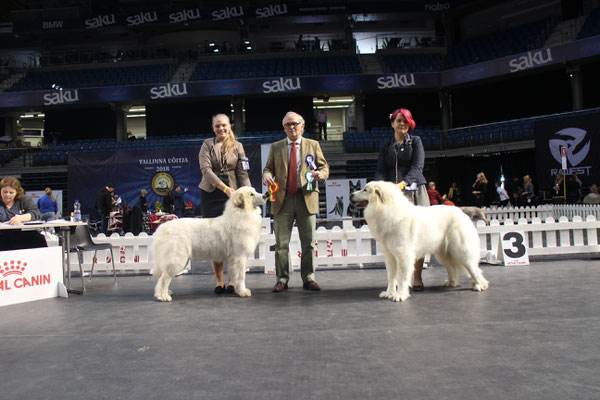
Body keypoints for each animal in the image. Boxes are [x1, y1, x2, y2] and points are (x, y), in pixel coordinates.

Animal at [352, 180, 488, 302]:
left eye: (365, 190)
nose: (351, 195)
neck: (385, 209)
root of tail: (462, 212)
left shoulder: (403, 255)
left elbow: (402, 277)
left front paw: (400, 295)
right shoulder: (389, 256)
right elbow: (391, 277)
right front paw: (389, 293)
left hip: (460, 251)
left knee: (473, 268)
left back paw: (480, 285)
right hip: (443, 253)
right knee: (451, 267)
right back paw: (451, 282)